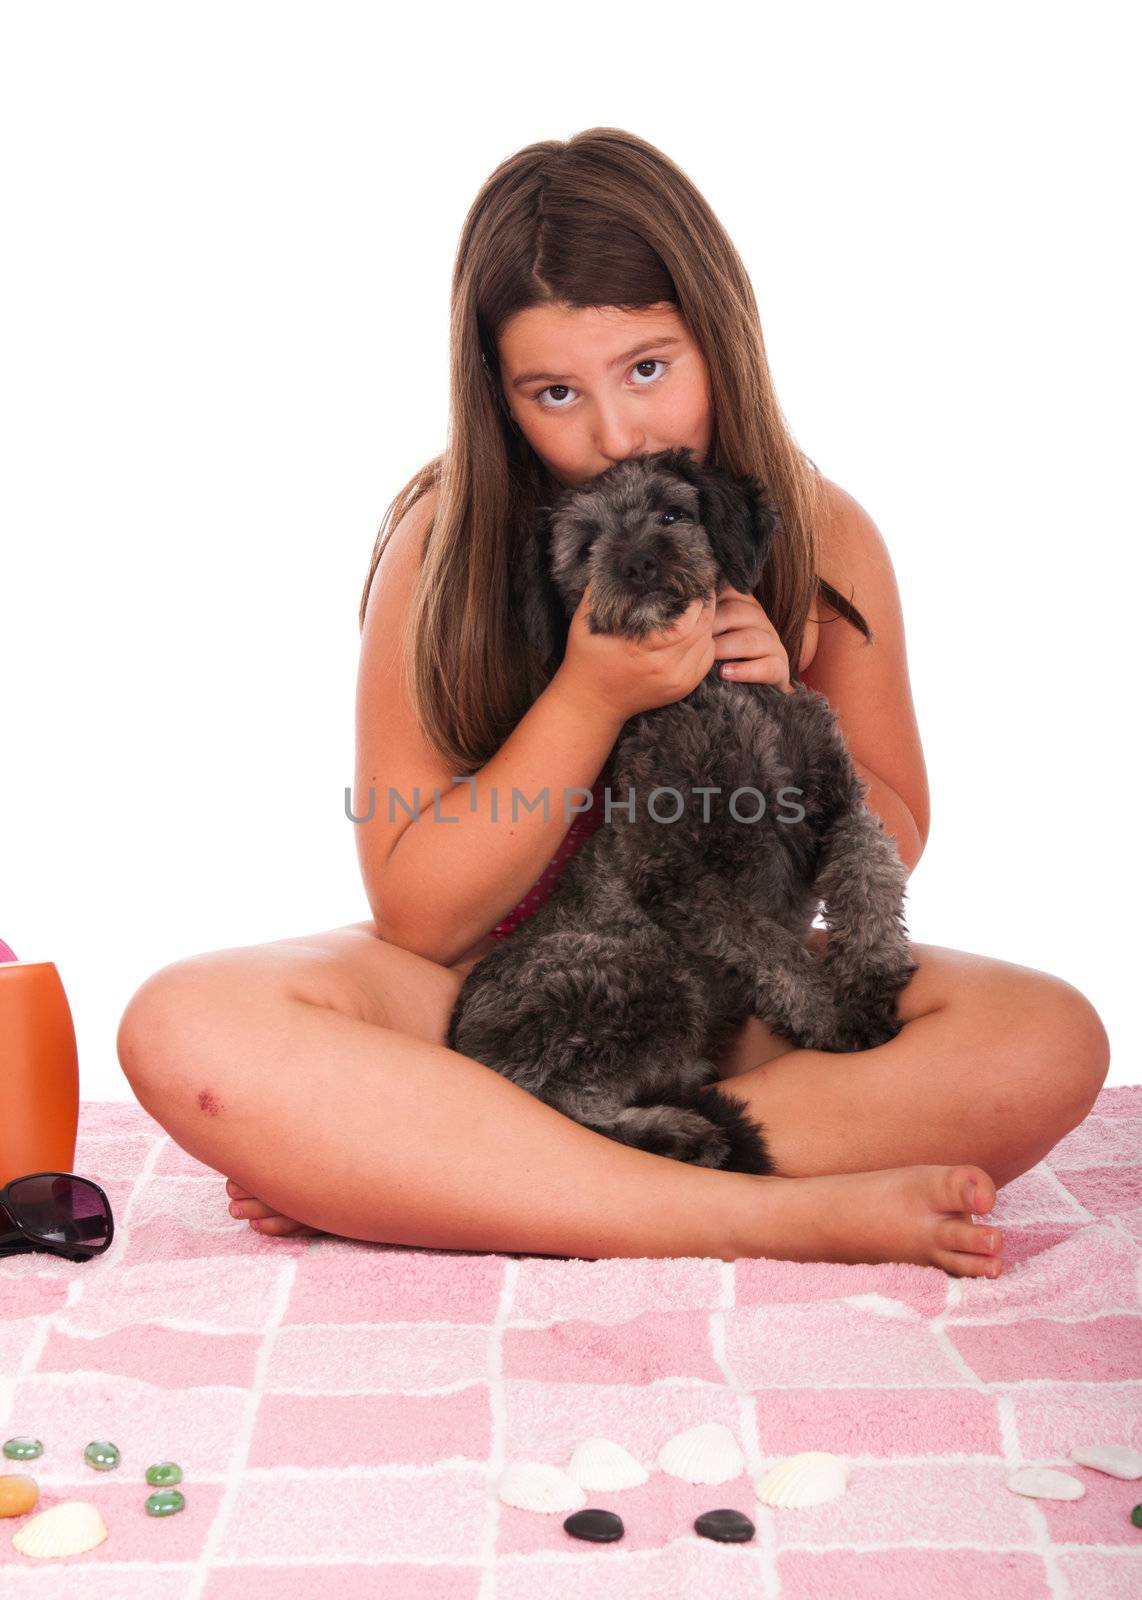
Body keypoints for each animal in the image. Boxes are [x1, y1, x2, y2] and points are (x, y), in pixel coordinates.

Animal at [444, 451, 914, 1177]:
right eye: (587, 545)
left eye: (672, 512)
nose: (639, 562)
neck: (715, 691)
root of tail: (457, 1042)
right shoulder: (682, 876)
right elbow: (774, 952)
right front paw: (834, 1017)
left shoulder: (841, 806)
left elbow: (874, 875)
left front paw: (871, 975)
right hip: (641, 975)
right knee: (560, 1108)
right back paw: (688, 1134)